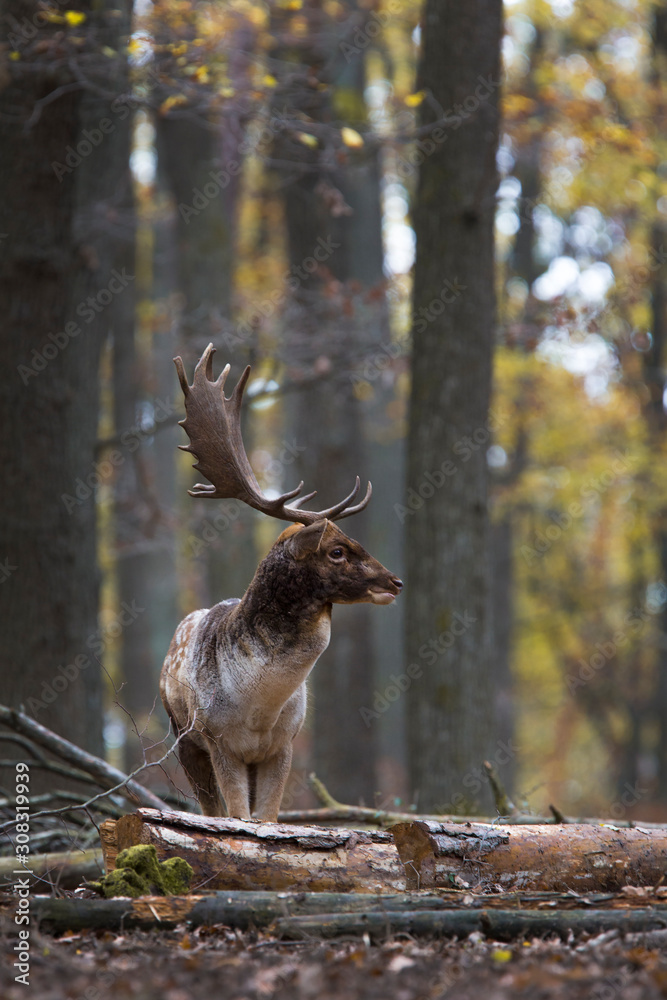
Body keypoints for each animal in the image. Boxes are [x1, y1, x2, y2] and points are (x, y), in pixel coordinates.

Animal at [160, 344, 403, 822]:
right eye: (337, 551)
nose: (395, 581)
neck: (259, 707)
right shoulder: (219, 742)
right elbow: (235, 817)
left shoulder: (284, 745)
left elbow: (268, 818)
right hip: (181, 735)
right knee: (208, 807)